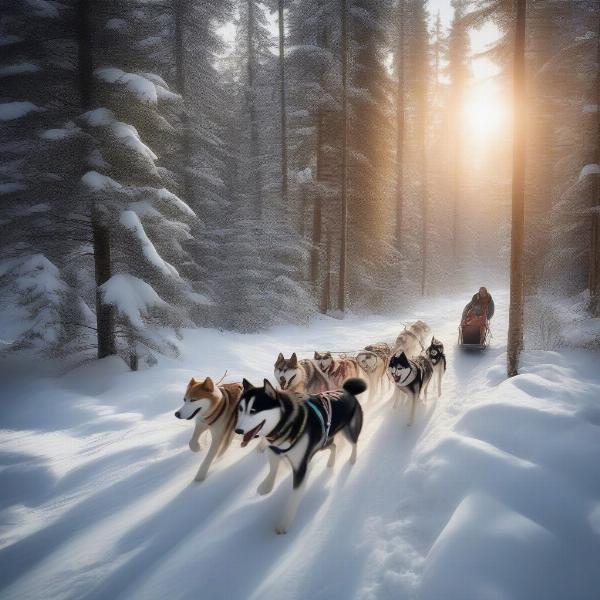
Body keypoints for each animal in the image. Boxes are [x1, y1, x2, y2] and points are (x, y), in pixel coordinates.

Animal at [236, 378, 366, 532]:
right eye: (241, 409)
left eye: (253, 410)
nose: (237, 430)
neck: (287, 425)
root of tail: (347, 391)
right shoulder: (274, 450)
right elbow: (273, 468)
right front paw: (266, 486)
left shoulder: (300, 467)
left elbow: (294, 497)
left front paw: (284, 523)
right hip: (323, 442)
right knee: (333, 446)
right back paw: (330, 463)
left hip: (349, 432)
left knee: (354, 444)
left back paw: (352, 459)